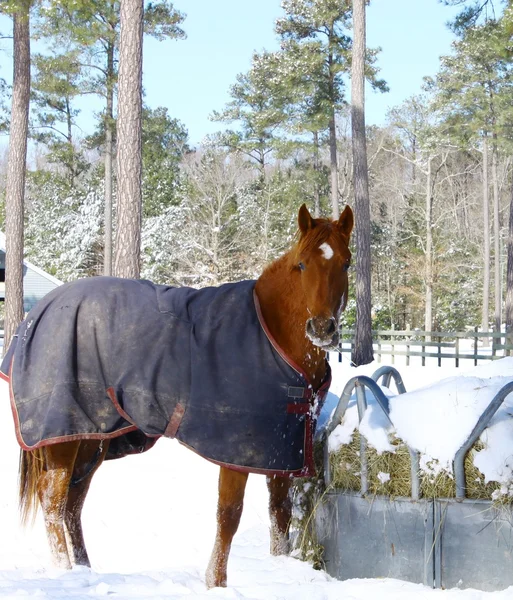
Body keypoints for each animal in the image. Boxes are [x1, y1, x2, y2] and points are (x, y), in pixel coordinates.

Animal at [0, 204, 352, 588]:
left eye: (346, 263)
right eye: (301, 264)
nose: (323, 329)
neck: (270, 333)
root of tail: (38, 312)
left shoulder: (280, 450)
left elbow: (280, 515)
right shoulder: (236, 452)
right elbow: (229, 514)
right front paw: (216, 582)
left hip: (92, 437)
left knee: (73, 502)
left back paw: (83, 568)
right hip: (62, 434)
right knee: (53, 499)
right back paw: (65, 571)